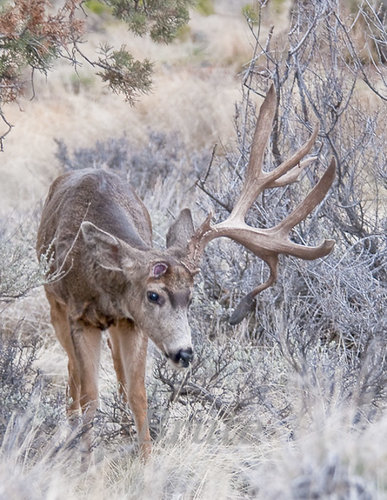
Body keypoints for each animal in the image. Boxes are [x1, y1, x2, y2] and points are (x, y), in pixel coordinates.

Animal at [36, 85, 336, 458]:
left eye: (191, 298)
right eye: (153, 294)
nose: (185, 353)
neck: (101, 284)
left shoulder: (131, 322)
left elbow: (138, 395)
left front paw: (146, 461)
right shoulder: (79, 316)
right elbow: (91, 395)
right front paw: (87, 459)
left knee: (115, 374)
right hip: (54, 305)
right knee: (72, 372)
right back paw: (71, 425)